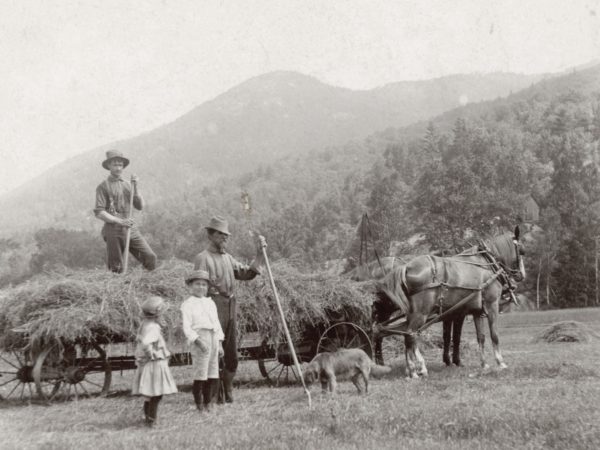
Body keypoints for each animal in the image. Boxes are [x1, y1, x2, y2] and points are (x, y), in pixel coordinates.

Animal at [392, 227, 524, 378]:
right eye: (522, 251)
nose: (521, 275)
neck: (488, 265)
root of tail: (406, 268)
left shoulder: (476, 312)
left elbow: (480, 337)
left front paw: (484, 364)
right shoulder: (492, 305)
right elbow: (494, 335)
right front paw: (500, 362)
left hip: (413, 314)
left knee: (408, 336)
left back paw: (411, 369)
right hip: (421, 313)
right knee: (410, 335)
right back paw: (416, 370)